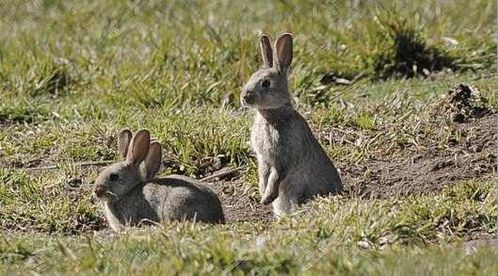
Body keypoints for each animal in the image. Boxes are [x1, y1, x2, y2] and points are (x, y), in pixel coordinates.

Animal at [240, 32, 342, 218]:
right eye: (252, 76)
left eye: (266, 83)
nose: (244, 97)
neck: (271, 116)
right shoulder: (263, 158)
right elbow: (263, 174)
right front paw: (262, 193)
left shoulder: (283, 157)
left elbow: (276, 176)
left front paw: (266, 198)